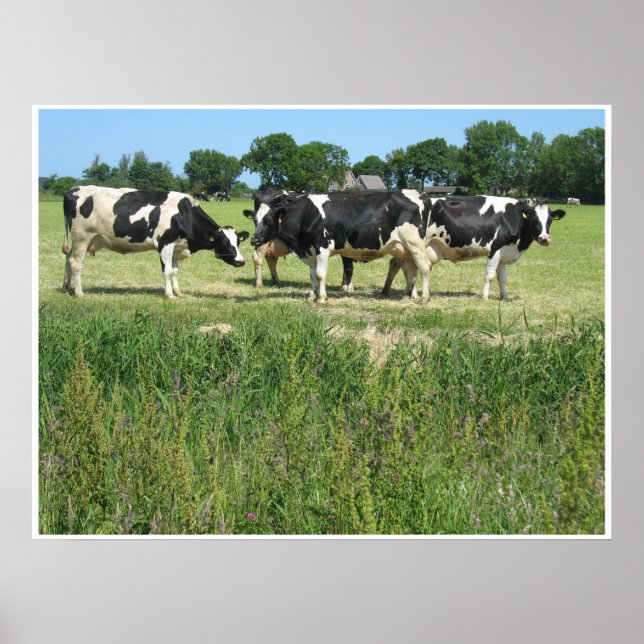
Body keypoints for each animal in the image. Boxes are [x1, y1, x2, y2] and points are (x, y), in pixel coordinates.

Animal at [62, 186, 249, 299]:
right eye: (225, 243)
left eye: (238, 243)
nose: (241, 261)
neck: (182, 214)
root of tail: (72, 189)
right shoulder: (165, 244)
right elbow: (168, 271)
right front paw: (170, 295)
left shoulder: (176, 247)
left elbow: (175, 271)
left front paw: (178, 292)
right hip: (82, 237)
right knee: (76, 264)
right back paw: (79, 293)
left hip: (81, 241)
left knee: (68, 259)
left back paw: (66, 287)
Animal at [250, 190, 431, 303]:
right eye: (255, 220)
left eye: (268, 220)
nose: (254, 240)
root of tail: (420, 195)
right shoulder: (311, 250)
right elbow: (312, 275)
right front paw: (311, 295)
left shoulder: (323, 247)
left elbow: (320, 274)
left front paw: (322, 298)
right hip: (406, 249)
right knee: (411, 270)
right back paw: (410, 295)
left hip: (414, 244)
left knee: (424, 267)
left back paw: (424, 297)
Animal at [382, 196, 566, 300]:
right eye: (534, 220)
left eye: (550, 220)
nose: (544, 238)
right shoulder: (495, 250)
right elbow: (489, 276)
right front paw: (484, 297)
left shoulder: (504, 252)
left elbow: (502, 277)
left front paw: (504, 297)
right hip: (412, 246)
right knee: (406, 267)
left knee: (399, 265)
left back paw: (390, 291)